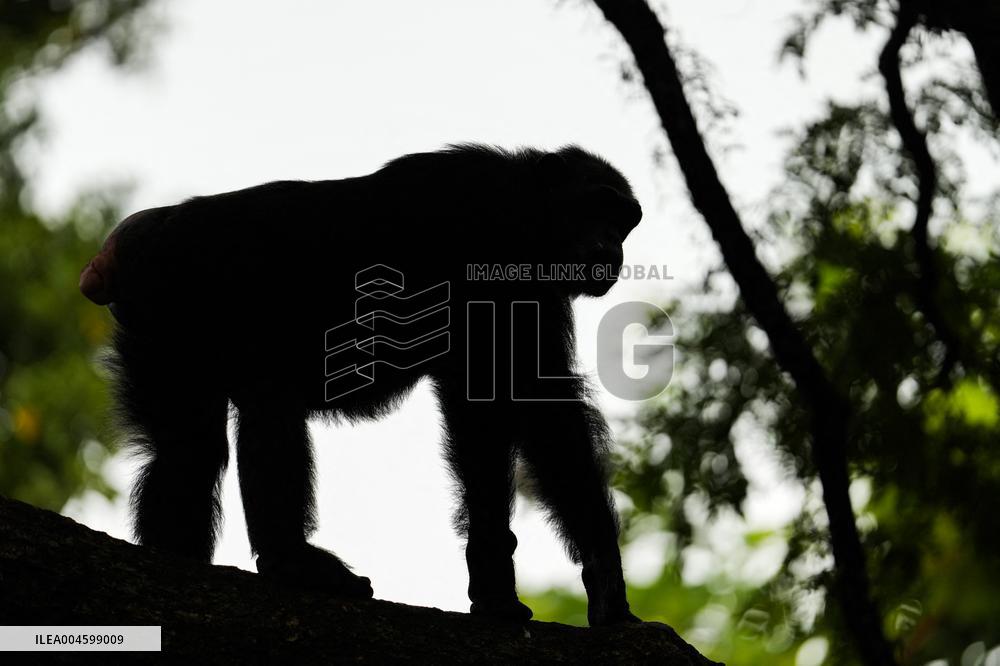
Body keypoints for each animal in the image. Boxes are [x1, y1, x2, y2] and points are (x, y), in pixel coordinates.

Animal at [79, 144, 643, 627]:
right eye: (599, 207)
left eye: (625, 222)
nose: (611, 247)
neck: (527, 215)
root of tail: (125, 244)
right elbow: (525, 410)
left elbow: (508, 417)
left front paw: (513, 586)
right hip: (184, 294)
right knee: (266, 410)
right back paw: (292, 561)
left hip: (159, 335)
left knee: (186, 449)